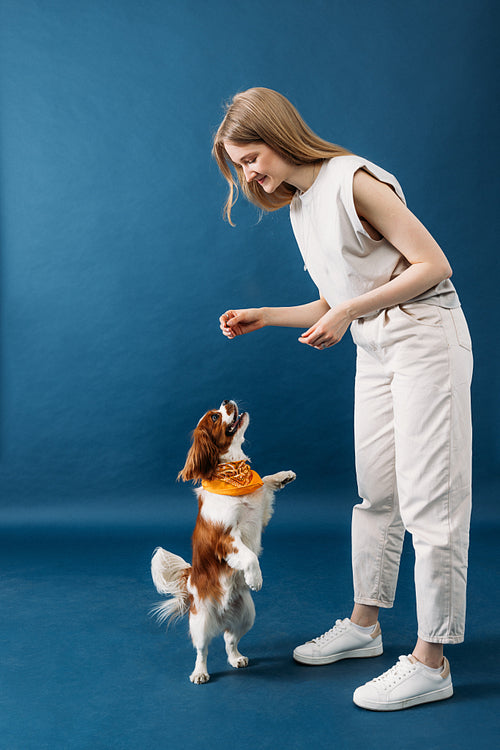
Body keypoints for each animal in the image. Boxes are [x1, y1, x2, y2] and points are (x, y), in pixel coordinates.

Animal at [150, 402, 294, 684]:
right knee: (202, 650)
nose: (228, 401)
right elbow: (249, 556)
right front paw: (255, 578)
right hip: (201, 621)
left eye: (217, 410)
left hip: (247, 615)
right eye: (216, 417)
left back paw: (236, 657)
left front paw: (284, 476)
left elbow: (265, 482)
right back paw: (200, 673)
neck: (234, 473)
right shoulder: (226, 538)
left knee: (229, 639)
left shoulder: (260, 511)